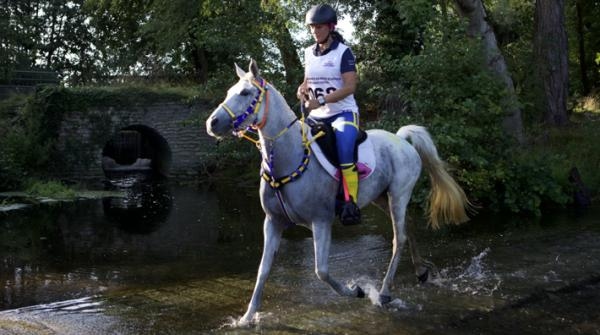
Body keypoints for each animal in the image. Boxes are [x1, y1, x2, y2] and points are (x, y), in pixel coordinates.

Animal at [206, 60, 474, 326]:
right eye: (229, 92)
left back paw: (384, 293)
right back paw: (420, 271)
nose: (212, 123)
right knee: (408, 228)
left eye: (245, 93)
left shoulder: (321, 222)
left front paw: (357, 290)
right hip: (381, 198)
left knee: (399, 239)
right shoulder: (273, 222)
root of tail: (401, 139)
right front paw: (246, 317)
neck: (289, 157)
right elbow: (263, 270)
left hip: (399, 195)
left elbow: (321, 271)